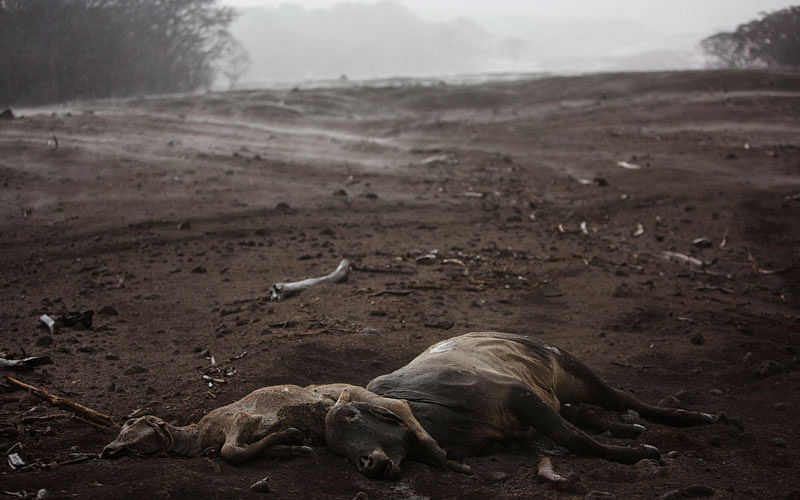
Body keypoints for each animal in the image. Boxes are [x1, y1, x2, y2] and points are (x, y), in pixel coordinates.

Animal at [324, 330, 720, 478]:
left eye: (351, 416)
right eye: (337, 449)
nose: (366, 462)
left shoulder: (517, 395)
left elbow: (573, 438)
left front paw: (637, 454)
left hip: (571, 368)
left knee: (620, 398)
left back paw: (692, 417)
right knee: (581, 412)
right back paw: (627, 426)